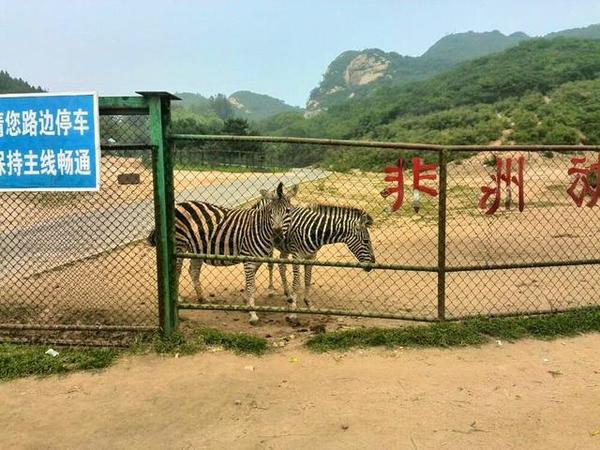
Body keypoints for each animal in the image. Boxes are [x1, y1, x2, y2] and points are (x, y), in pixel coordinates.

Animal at [148, 181, 298, 326]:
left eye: (288, 211)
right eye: (271, 212)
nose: (277, 237)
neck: (259, 227)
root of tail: (178, 205)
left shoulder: (257, 258)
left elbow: (252, 279)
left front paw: (246, 300)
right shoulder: (249, 258)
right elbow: (251, 286)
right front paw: (253, 314)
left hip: (195, 248)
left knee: (193, 271)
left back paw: (202, 298)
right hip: (179, 246)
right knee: (177, 270)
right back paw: (179, 298)